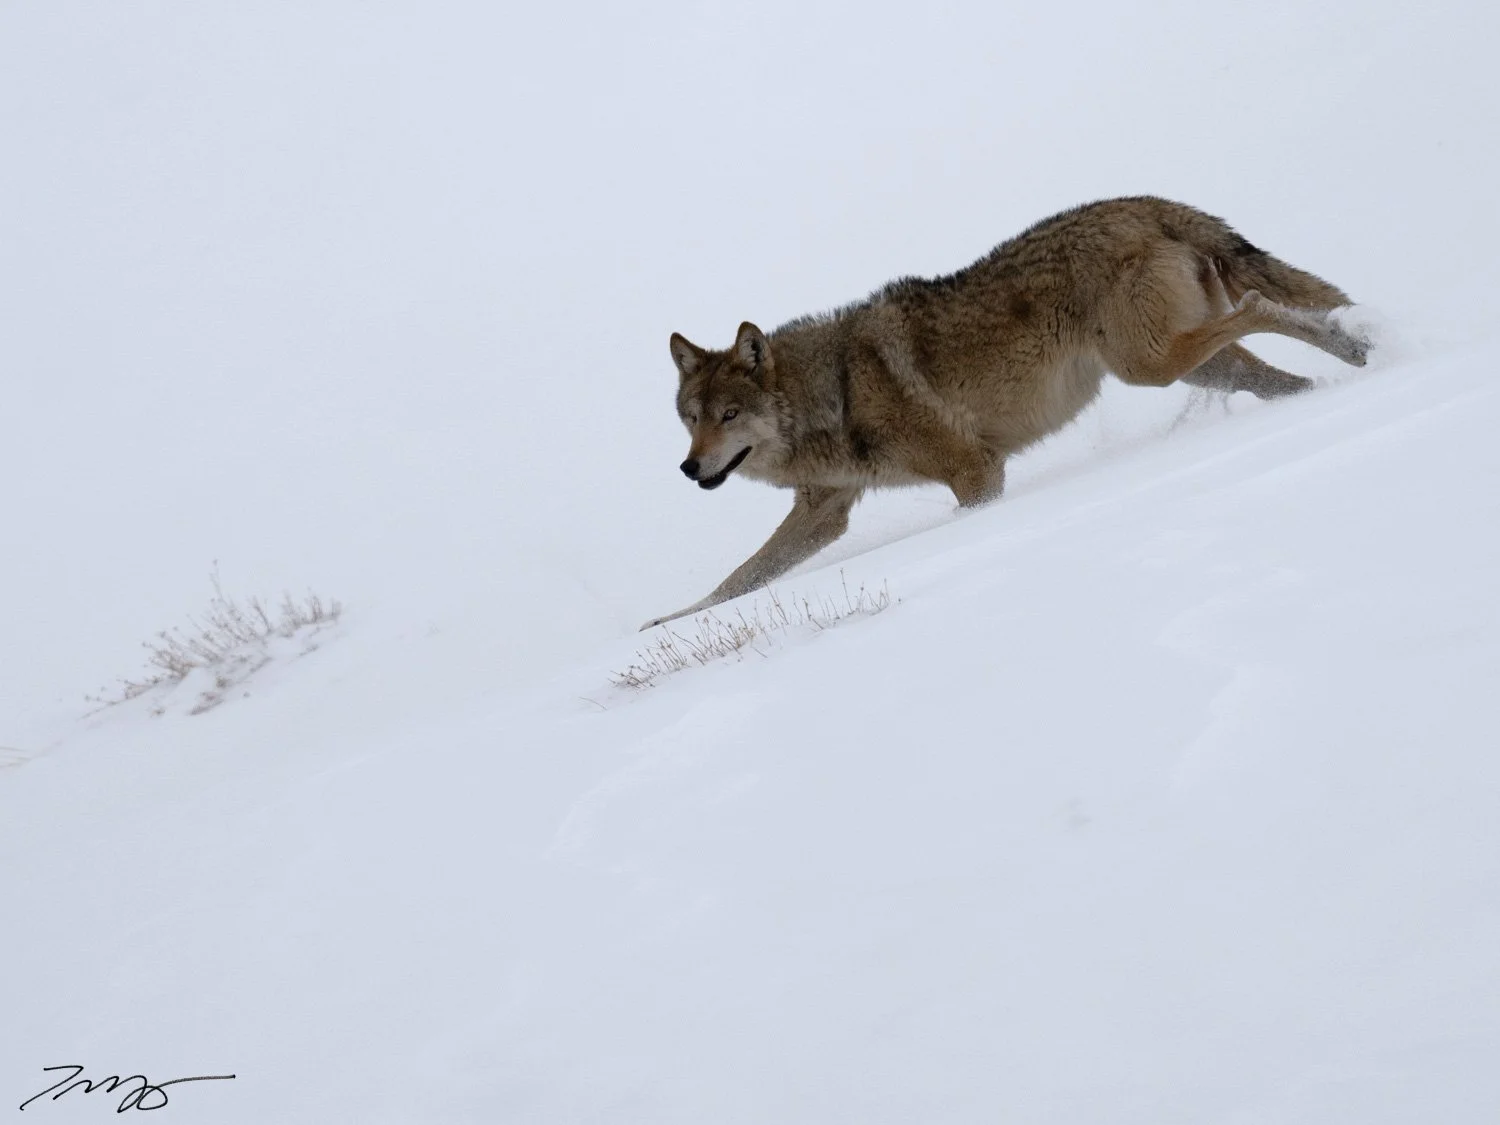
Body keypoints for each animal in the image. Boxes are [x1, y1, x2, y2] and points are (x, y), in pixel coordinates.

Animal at [643, 195, 1368, 629]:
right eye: (690, 417)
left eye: (729, 415)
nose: (688, 468)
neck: (836, 391)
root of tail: (1141, 201)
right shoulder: (825, 513)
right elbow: (737, 579)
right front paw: (663, 622)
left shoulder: (976, 473)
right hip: (1191, 365)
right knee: (1286, 365)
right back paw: (1362, 352)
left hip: (1152, 365)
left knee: (1262, 308)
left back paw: (1356, 344)